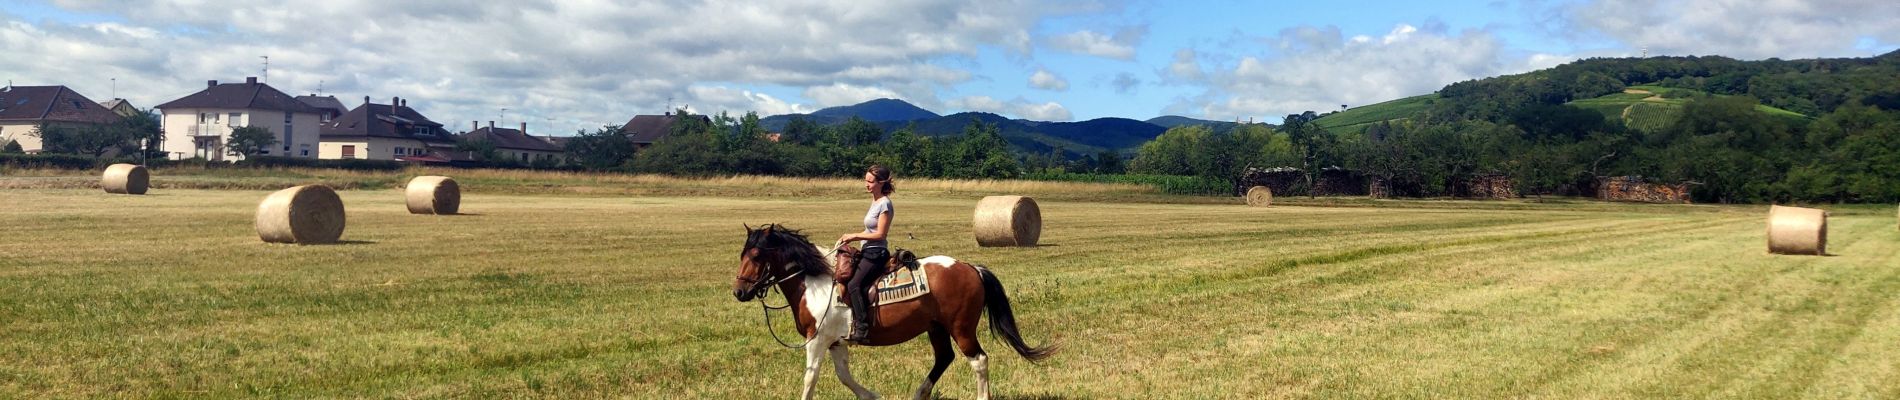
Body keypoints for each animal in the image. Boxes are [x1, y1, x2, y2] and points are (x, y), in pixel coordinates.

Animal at [729, 224, 1056, 400]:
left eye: (756, 255)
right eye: (742, 253)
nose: (739, 292)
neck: (815, 281)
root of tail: (971, 268)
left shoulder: (817, 340)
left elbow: (811, 377)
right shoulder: (835, 341)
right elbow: (844, 376)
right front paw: (872, 395)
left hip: (961, 328)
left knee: (979, 360)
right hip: (936, 327)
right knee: (944, 358)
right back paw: (919, 393)